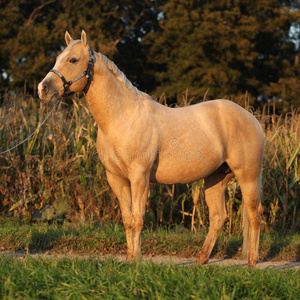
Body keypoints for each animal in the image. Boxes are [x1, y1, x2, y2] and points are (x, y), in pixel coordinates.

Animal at [38, 30, 264, 268]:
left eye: (73, 60)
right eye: (58, 58)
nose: (43, 89)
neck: (122, 117)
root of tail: (251, 119)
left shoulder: (140, 176)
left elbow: (138, 219)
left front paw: (137, 260)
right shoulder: (117, 179)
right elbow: (127, 219)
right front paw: (129, 258)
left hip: (248, 177)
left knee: (253, 215)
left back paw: (252, 262)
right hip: (216, 178)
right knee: (218, 217)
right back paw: (200, 260)